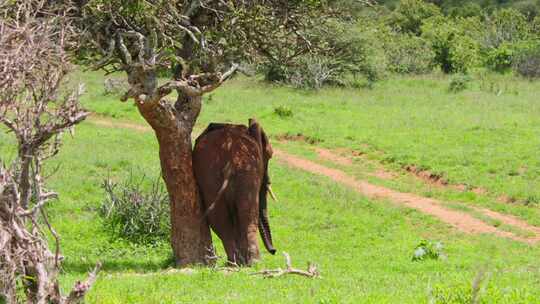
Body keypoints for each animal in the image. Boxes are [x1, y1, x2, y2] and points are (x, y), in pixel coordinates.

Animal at [194, 117, 276, 264]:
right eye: (269, 156)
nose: (274, 251)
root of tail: (230, 160)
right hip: (246, 169)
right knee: (249, 213)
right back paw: (254, 261)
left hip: (208, 173)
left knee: (219, 218)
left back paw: (234, 263)